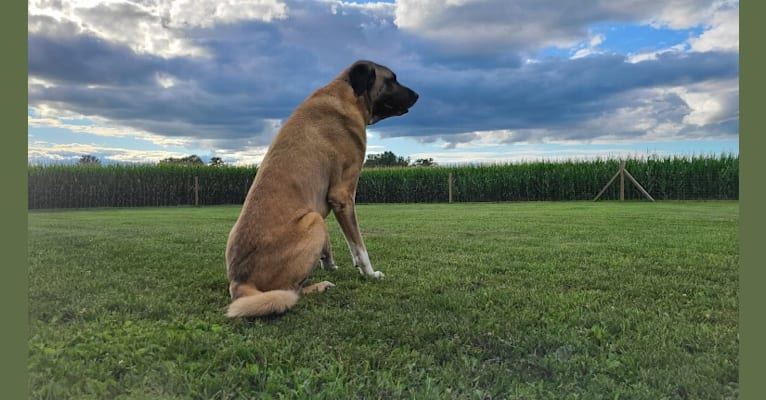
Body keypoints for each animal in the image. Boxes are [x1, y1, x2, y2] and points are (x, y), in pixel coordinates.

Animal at [226, 59, 420, 318]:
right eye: (392, 79)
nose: (417, 95)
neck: (348, 94)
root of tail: (239, 283)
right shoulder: (343, 195)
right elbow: (358, 245)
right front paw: (369, 273)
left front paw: (330, 263)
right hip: (313, 220)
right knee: (291, 291)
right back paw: (319, 286)